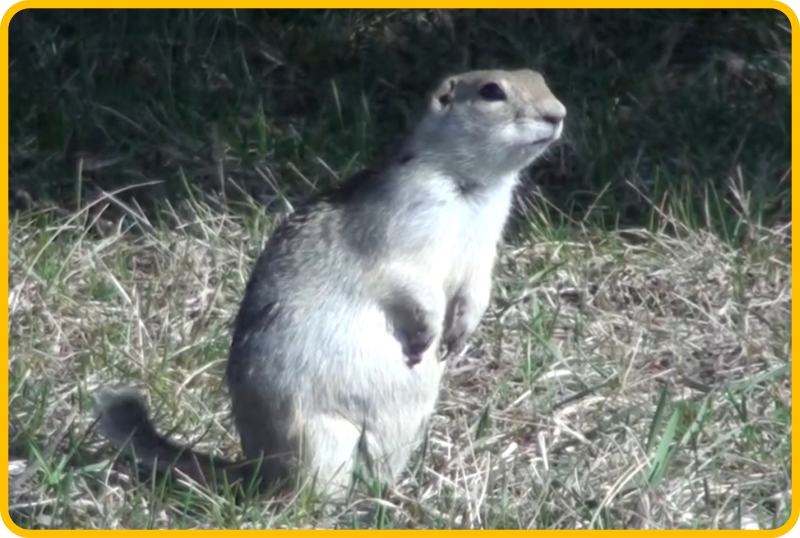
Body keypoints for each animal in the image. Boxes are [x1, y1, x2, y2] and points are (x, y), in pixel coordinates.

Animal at [94, 67, 564, 498]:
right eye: (491, 91)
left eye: (541, 78)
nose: (557, 114)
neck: (472, 191)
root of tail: (258, 471)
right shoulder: (401, 229)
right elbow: (409, 282)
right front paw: (427, 336)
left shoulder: (483, 247)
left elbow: (477, 288)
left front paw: (459, 335)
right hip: (321, 436)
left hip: (397, 437)